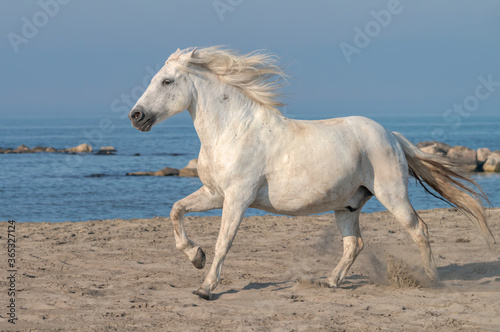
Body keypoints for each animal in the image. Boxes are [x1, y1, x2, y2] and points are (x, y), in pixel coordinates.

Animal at [129, 46, 492, 298]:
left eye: (166, 80)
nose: (136, 116)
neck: (233, 131)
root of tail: (390, 135)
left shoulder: (237, 198)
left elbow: (224, 241)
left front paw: (205, 287)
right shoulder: (215, 194)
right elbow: (176, 211)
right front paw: (196, 257)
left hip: (393, 195)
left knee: (419, 230)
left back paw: (432, 281)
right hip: (347, 206)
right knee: (354, 244)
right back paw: (329, 281)